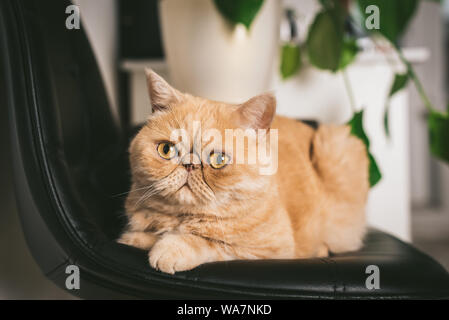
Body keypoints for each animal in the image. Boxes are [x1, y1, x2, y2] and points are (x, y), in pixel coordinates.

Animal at [118, 69, 368, 274]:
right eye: (166, 149)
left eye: (218, 159)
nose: (190, 165)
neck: (183, 217)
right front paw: (138, 238)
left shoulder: (271, 250)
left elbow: (211, 243)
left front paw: (169, 248)